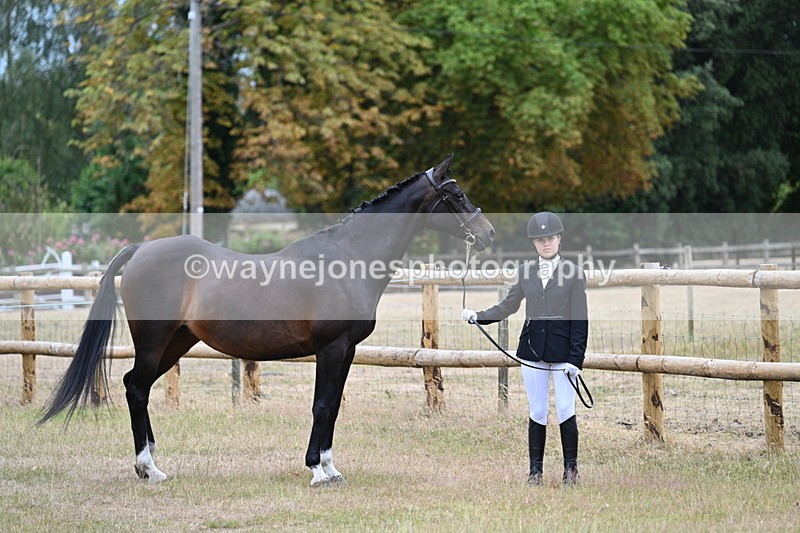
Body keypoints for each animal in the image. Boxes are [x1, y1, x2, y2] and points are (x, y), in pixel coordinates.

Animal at [38, 154, 495, 487]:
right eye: (455, 195)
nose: (488, 233)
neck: (348, 259)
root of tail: (141, 250)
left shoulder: (347, 351)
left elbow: (333, 407)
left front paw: (331, 467)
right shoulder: (330, 349)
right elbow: (322, 405)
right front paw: (316, 471)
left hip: (177, 343)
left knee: (140, 387)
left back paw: (152, 465)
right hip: (153, 342)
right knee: (135, 389)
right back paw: (148, 468)